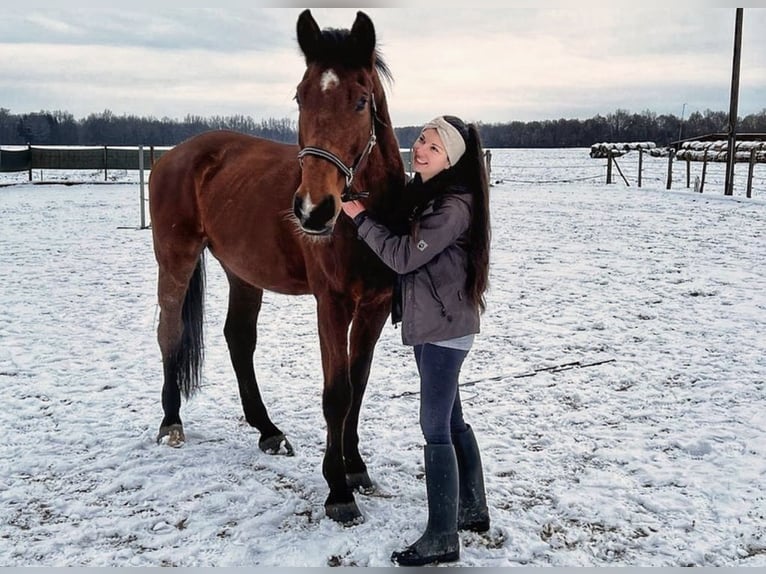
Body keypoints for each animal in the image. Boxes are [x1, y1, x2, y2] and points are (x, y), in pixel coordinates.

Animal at [151, 7, 412, 528]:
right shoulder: (331, 303)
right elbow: (337, 393)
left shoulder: (373, 307)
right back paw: (171, 422)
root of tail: (175, 156)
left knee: (238, 339)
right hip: (175, 259)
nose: (314, 210)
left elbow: (358, 385)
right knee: (170, 333)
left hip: (242, 273)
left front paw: (356, 468)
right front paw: (338, 490)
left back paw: (267, 430)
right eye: (300, 95)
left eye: (360, 101)